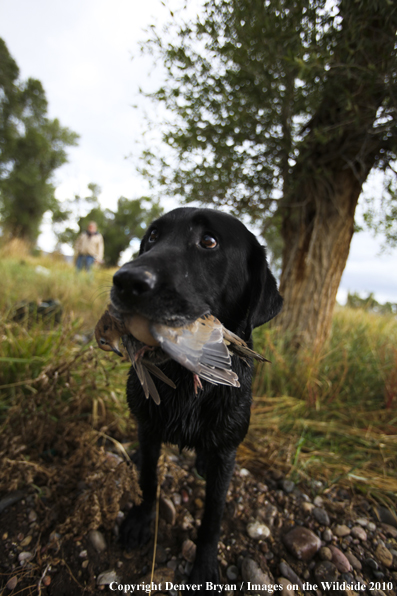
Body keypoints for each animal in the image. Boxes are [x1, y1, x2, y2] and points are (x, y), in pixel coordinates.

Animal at [110, 207, 280, 588]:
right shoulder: (148, 429)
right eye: (153, 236)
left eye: (209, 241)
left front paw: (204, 564)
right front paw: (141, 520)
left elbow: (212, 517)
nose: (125, 281)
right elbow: (149, 480)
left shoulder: (225, 454)